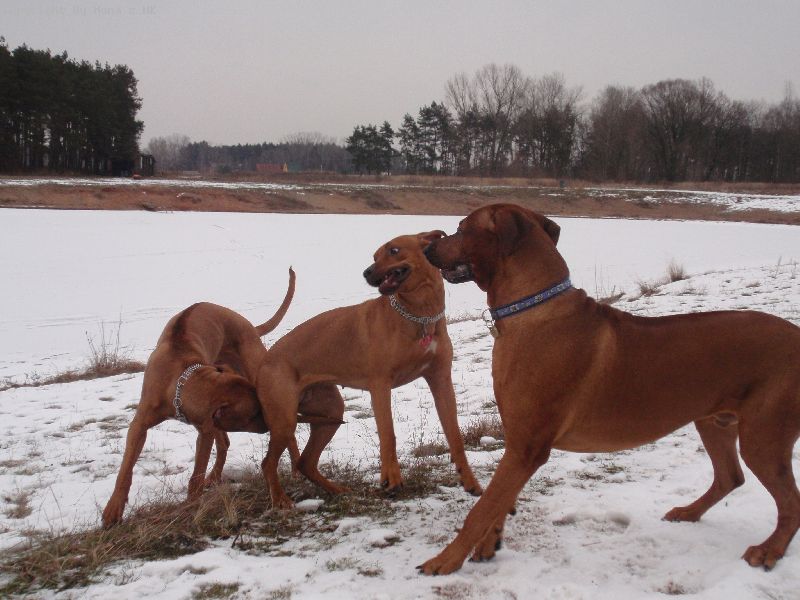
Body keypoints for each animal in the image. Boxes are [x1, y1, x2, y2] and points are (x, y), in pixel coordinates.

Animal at [102, 270, 298, 527]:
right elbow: (125, 469)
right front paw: (113, 509)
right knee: (224, 443)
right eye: (254, 413)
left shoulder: (204, 429)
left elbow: (196, 473)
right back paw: (214, 477)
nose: (267, 425)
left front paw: (191, 505)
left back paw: (295, 469)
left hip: (255, 370)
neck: (178, 382)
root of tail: (249, 325)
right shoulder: (142, 423)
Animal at [213, 231, 482, 509]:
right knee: (269, 463)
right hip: (284, 419)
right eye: (374, 256)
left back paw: (338, 490)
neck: (419, 315)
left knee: (306, 462)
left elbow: (455, 435)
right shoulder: (380, 386)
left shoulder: (441, 379)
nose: (367, 272)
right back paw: (281, 501)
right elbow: (388, 435)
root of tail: (265, 361)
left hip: (329, 412)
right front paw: (392, 480)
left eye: (394, 250)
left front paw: (470, 481)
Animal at [420, 203, 800, 574]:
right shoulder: (519, 441)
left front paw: (445, 560)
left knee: (790, 501)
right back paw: (689, 512)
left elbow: (482, 508)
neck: (533, 307)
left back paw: (769, 550)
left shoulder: (527, 446)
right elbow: (500, 501)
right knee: (729, 477)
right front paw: (488, 545)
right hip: (714, 421)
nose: (426, 247)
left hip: (764, 435)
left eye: (462, 229)